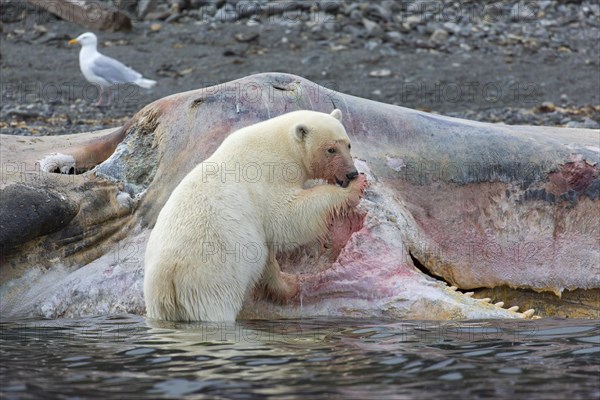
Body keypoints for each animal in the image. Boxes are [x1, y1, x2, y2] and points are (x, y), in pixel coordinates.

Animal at [144, 109, 366, 322]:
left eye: (348, 145)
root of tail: (166, 280)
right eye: (331, 149)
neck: (280, 145)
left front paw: (287, 286)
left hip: (159, 303)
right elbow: (288, 216)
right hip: (208, 282)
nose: (351, 173)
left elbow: (267, 254)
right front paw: (356, 188)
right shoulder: (269, 176)